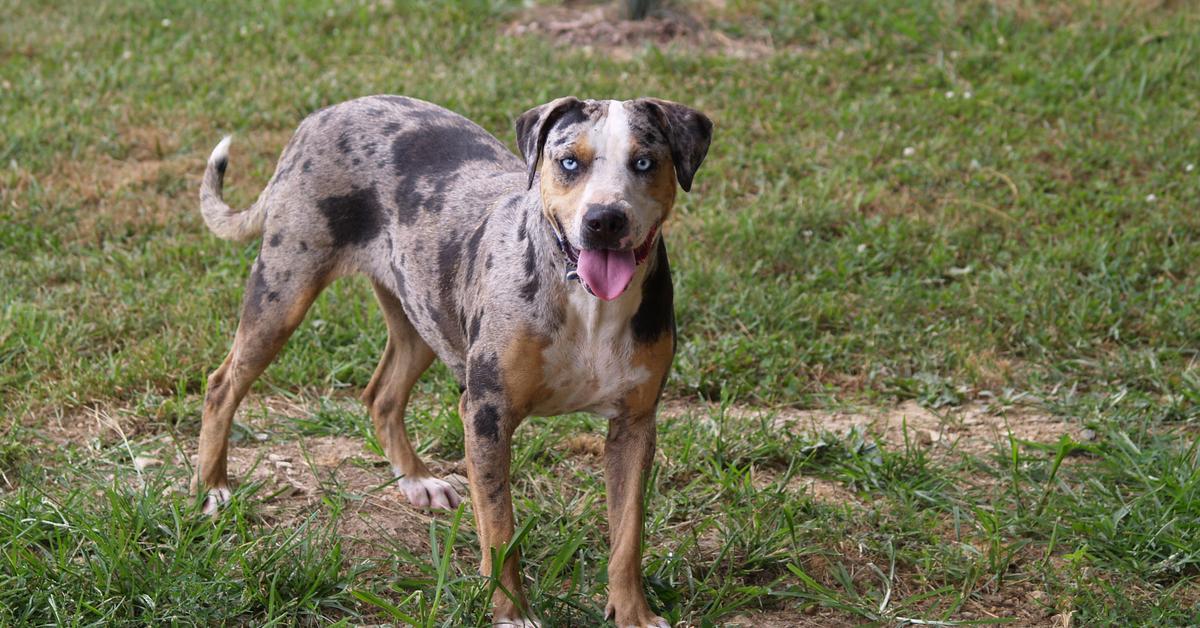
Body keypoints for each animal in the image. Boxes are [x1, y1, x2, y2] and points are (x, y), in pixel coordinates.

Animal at [192, 94, 705, 628]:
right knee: (222, 383)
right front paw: (511, 613)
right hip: (283, 292)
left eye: (644, 162)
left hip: (421, 314)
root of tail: (328, 112)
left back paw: (417, 481)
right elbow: (500, 529)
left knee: (381, 396)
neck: (586, 302)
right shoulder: (487, 415)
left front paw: (634, 614)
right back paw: (212, 488)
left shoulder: (634, 425)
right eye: (569, 162)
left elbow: (627, 537)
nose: (605, 219)